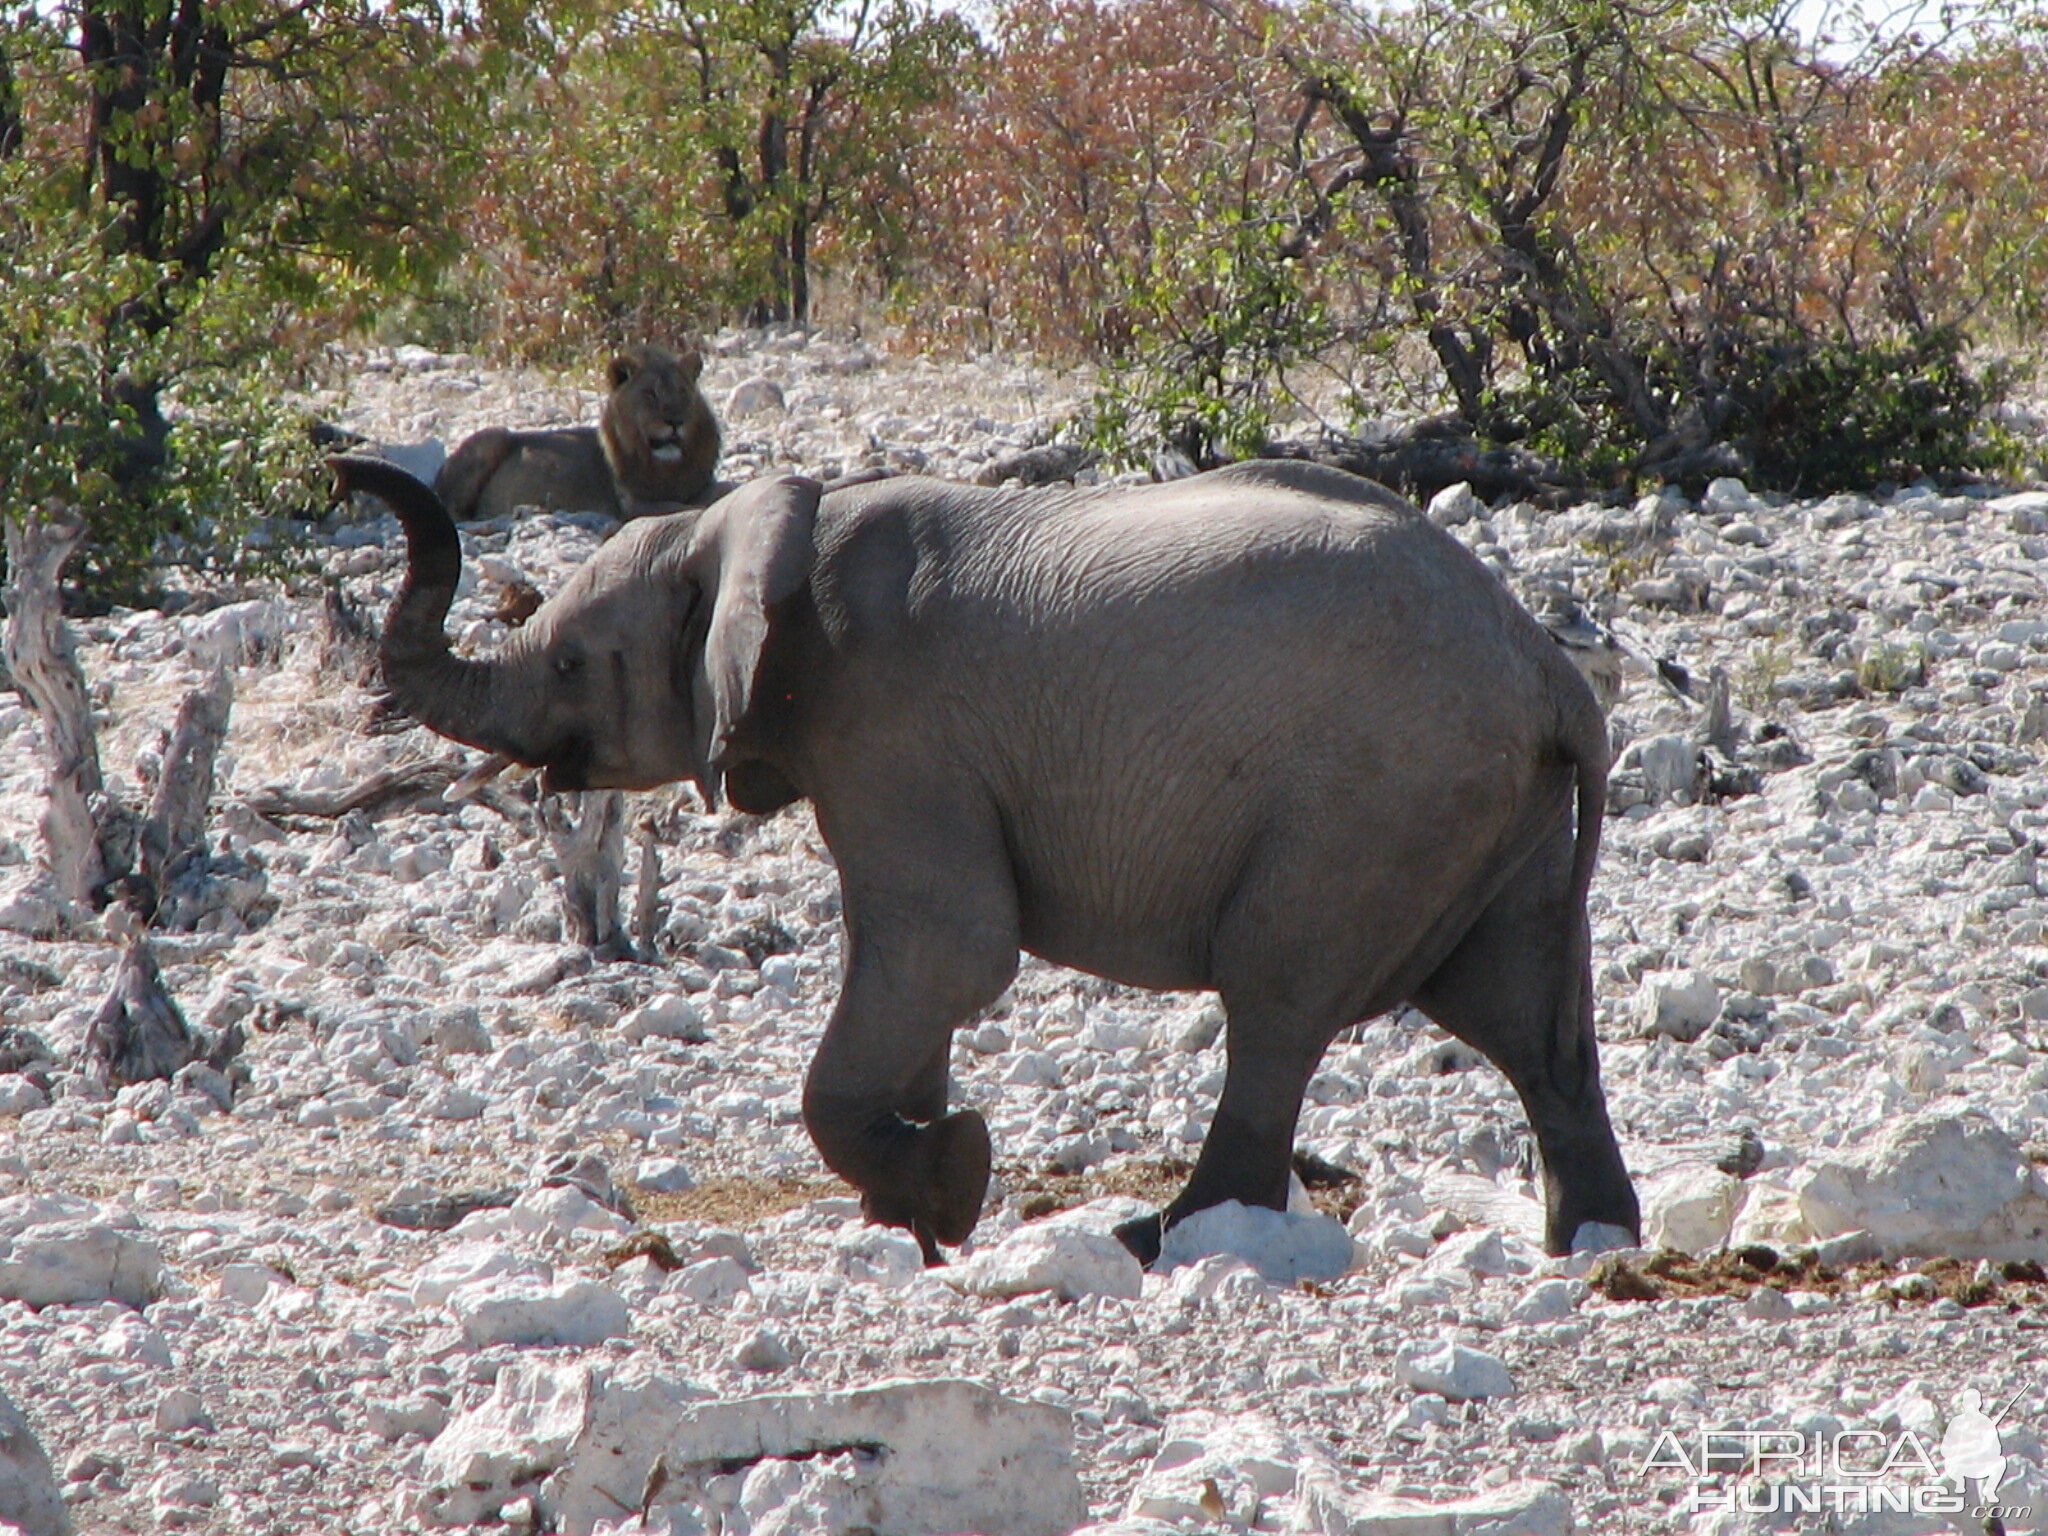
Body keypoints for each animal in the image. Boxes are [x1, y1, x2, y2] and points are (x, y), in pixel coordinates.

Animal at [339, 454, 1646, 1261]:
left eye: (568, 664)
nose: (342, 470)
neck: (768, 523)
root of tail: (1549, 672)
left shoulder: (893, 731)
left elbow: (949, 952)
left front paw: (951, 1182)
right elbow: (915, 974)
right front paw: (908, 1199)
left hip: (1371, 802)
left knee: (1275, 996)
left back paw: (1160, 1238)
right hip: (1488, 816)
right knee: (1525, 1018)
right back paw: (1590, 1240)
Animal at [430, 344, 720, 524]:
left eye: (683, 391)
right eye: (650, 394)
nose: (676, 422)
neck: (667, 466)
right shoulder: (635, 505)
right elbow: (689, 508)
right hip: (494, 435)